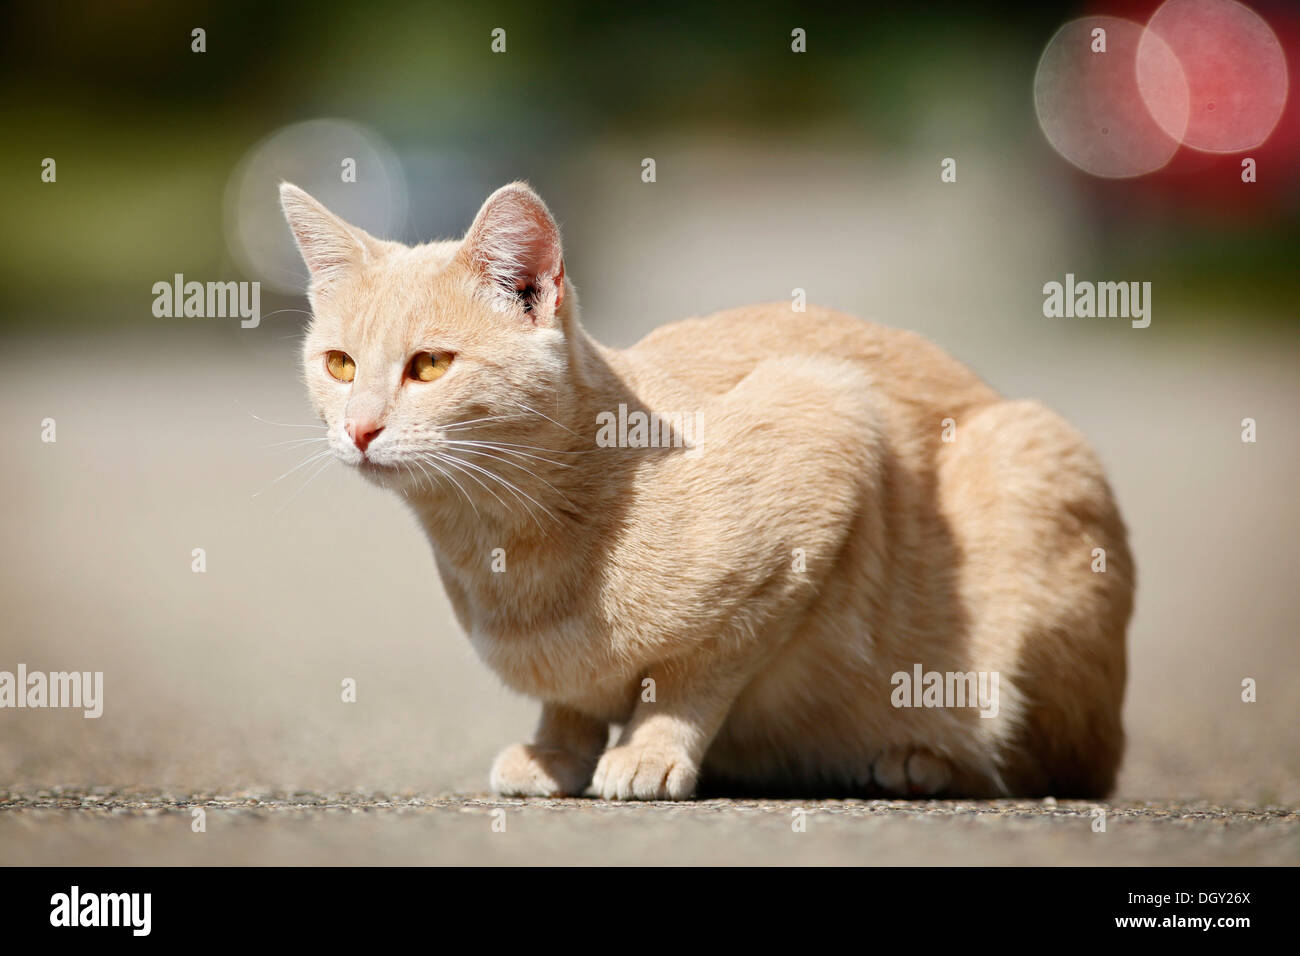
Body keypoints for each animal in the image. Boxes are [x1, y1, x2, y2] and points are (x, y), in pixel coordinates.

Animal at [279, 179, 1133, 801]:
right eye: (340, 365)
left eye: (428, 366)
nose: (358, 428)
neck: (501, 548)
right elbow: (572, 700)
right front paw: (558, 750)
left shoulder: (827, 431)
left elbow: (695, 673)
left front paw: (651, 749)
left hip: (1029, 469)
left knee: (1051, 769)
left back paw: (921, 762)